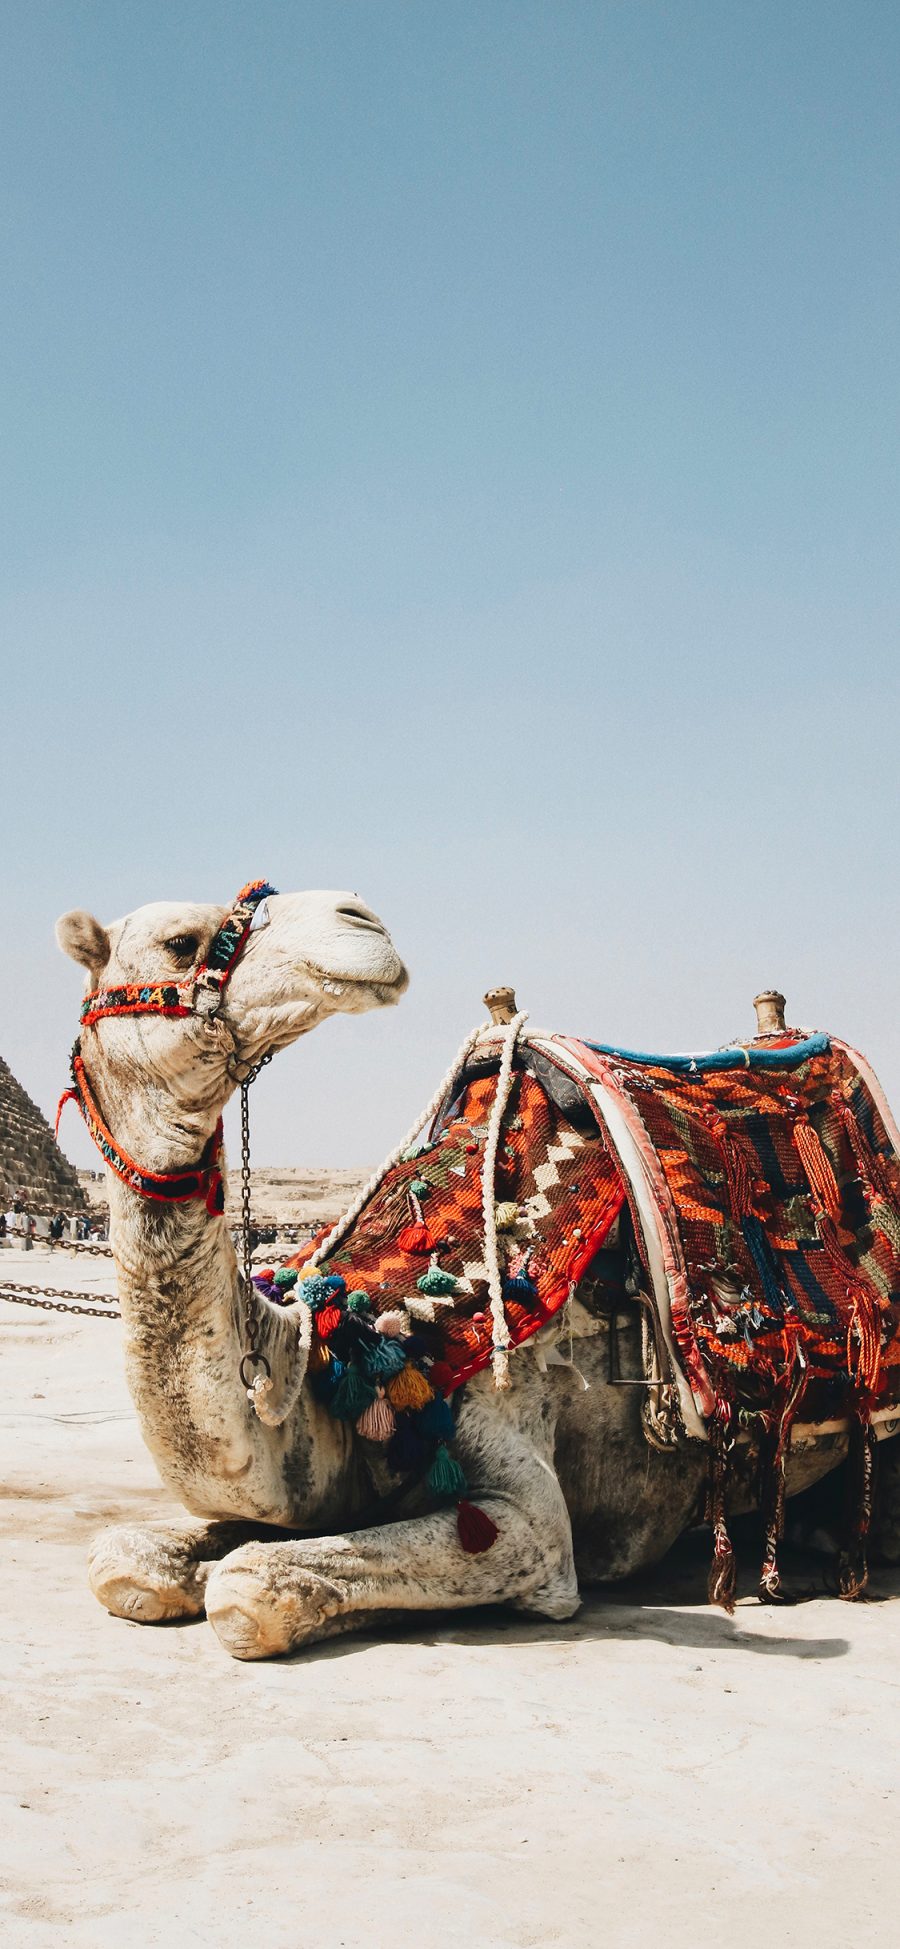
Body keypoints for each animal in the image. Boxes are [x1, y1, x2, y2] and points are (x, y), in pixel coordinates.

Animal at [56, 884, 900, 1660]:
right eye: (180, 942)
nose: (359, 917)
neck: (356, 1347)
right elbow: (125, 1558)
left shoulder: (532, 1516)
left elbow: (250, 1585)